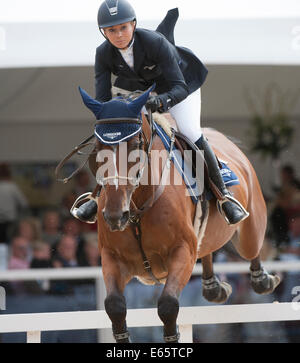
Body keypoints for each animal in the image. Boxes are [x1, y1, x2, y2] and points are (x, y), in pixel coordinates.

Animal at [78, 85, 280, 344]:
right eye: (97, 149)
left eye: (135, 144)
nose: (115, 216)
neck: (138, 207)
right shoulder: (112, 257)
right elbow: (114, 305)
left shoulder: (181, 252)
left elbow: (167, 305)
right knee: (205, 246)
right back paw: (213, 287)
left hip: (249, 230)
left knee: (251, 248)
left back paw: (262, 279)